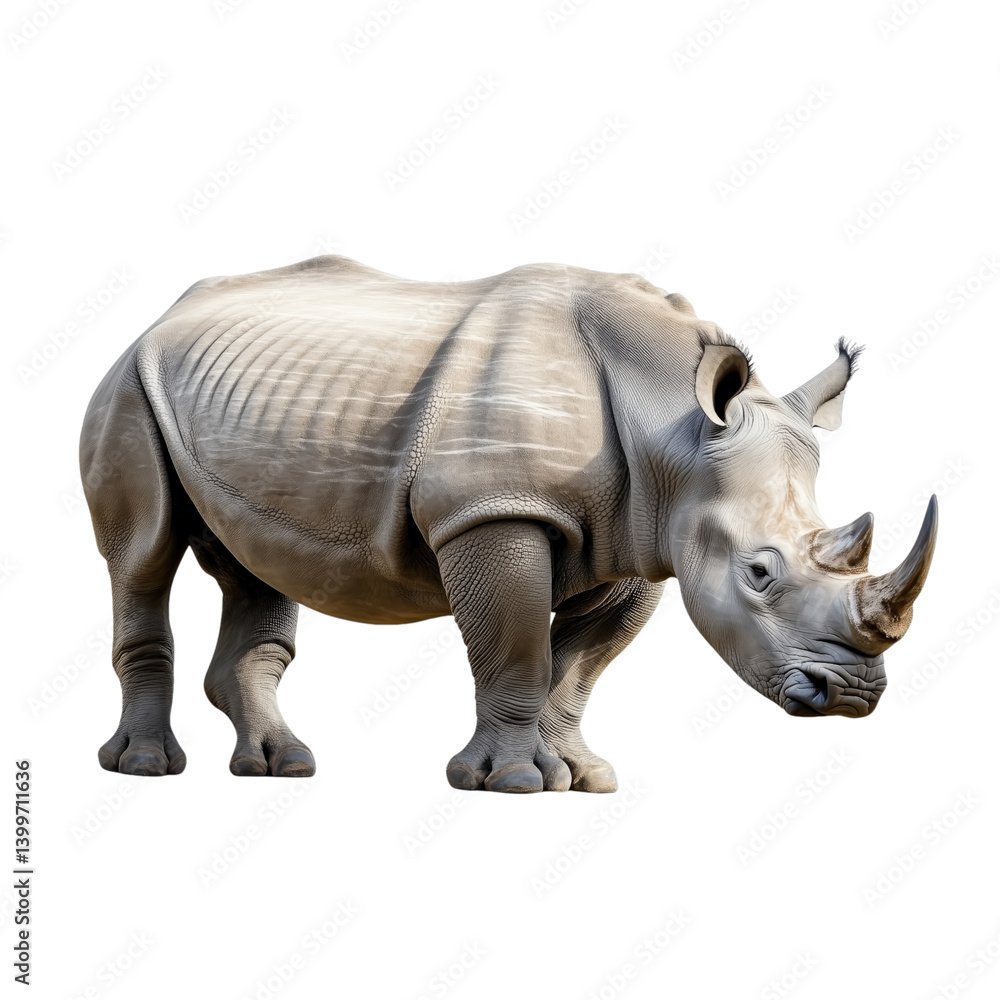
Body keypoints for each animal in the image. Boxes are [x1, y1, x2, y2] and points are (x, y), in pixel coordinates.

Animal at [80, 255, 937, 793]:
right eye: (759, 574)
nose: (853, 696)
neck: (673, 430)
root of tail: (163, 314)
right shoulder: (493, 513)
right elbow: (519, 649)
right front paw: (511, 782)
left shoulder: (642, 537)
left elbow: (578, 669)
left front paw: (582, 777)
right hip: (127, 385)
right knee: (142, 557)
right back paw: (147, 768)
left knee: (254, 564)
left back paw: (280, 765)